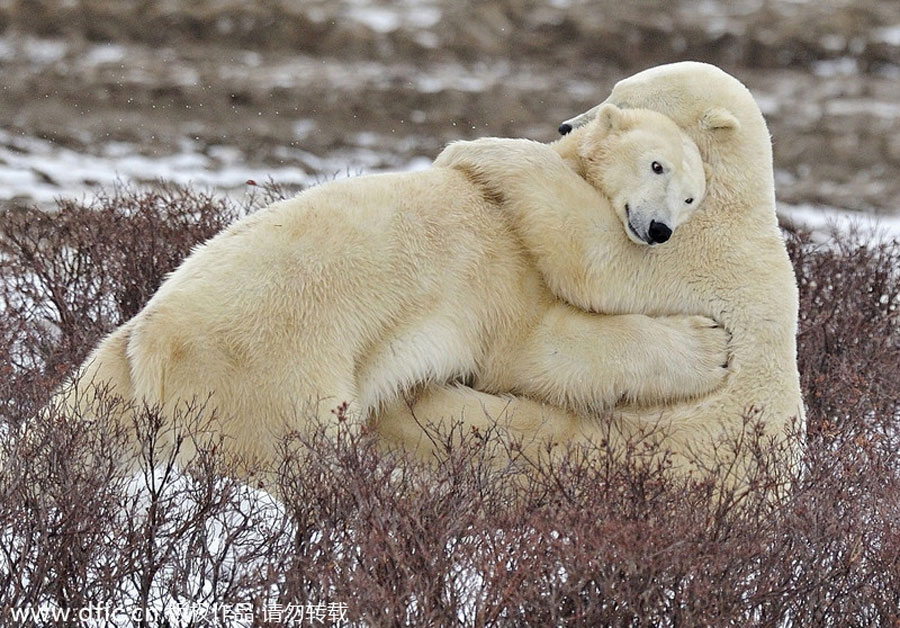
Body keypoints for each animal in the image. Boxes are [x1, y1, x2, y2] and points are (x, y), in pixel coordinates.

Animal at [63, 104, 724, 466]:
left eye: (693, 197)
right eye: (657, 165)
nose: (660, 229)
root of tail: (152, 338)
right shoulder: (507, 262)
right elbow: (538, 349)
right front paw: (711, 345)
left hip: (116, 374)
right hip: (266, 370)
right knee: (295, 454)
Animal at [376, 62, 804, 480]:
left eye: (626, 98)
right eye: (615, 89)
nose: (565, 126)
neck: (735, 197)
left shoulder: (691, 250)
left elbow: (593, 255)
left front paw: (476, 150)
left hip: (645, 440)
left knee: (521, 427)